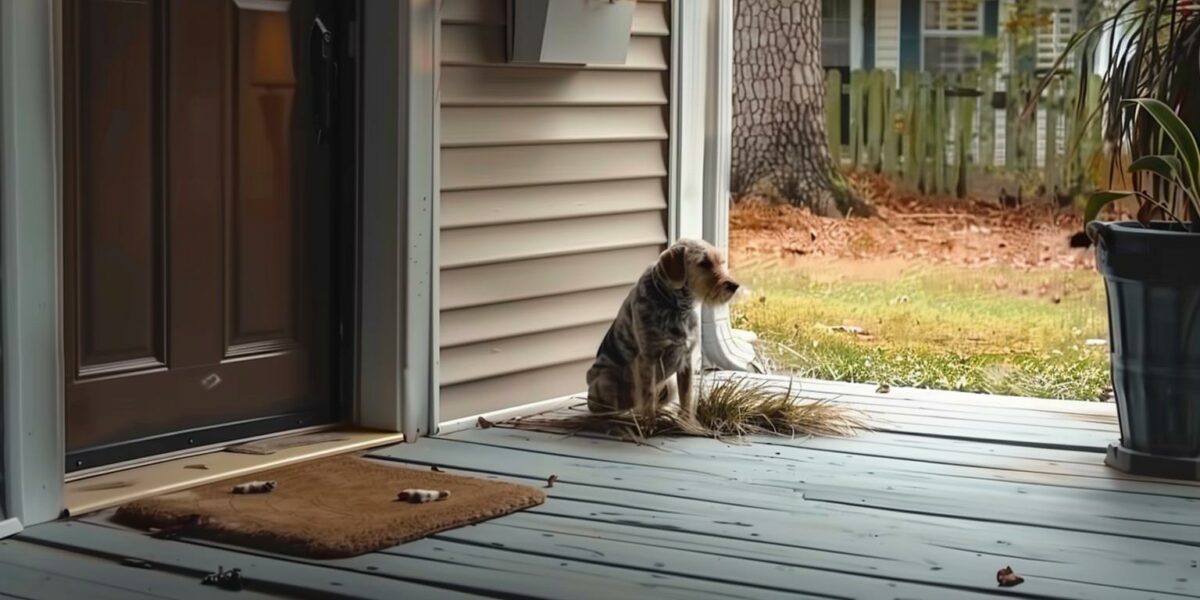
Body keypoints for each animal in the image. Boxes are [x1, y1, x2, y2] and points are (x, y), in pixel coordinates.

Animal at [583, 237, 739, 417]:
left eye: (721, 262)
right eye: (703, 263)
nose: (734, 285)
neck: (676, 307)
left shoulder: (686, 360)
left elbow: (686, 396)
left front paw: (686, 419)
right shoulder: (648, 359)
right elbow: (648, 397)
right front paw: (648, 421)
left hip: (669, 384)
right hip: (607, 382)